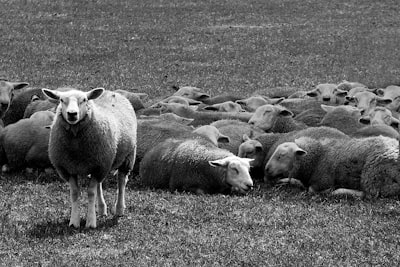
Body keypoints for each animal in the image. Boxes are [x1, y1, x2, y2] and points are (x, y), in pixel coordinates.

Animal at [41, 87, 137, 228]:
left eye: (84, 100)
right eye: (61, 100)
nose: (72, 114)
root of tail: (112, 92)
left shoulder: (99, 167)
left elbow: (91, 193)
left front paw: (91, 221)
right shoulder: (69, 168)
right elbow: (75, 193)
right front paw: (74, 221)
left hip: (127, 157)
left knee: (121, 182)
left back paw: (119, 209)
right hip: (100, 162)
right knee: (100, 184)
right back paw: (102, 209)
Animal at [264, 137, 400, 200]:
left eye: (281, 155)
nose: (266, 169)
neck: (318, 157)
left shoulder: (323, 181)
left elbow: (311, 190)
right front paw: (284, 181)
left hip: (372, 173)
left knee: (369, 194)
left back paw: (339, 192)